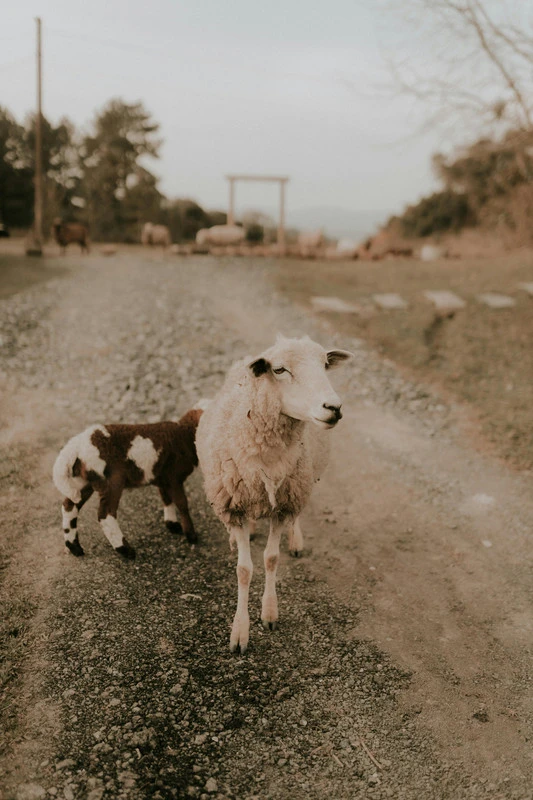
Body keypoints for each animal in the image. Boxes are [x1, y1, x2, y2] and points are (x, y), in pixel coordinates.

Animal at [52, 407, 205, 559]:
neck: (183, 434)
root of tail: (74, 447)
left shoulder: (163, 477)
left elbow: (166, 498)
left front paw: (172, 524)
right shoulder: (173, 477)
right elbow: (182, 503)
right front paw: (191, 535)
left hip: (82, 482)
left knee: (69, 507)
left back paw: (75, 547)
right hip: (111, 481)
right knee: (105, 514)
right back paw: (125, 550)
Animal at [195, 335, 353, 653]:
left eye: (324, 365)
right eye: (279, 370)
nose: (333, 407)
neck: (267, 458)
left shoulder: (283, 504)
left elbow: (271, 558)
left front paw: (269, 613)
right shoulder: (235, 506)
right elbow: (244, 569)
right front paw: (239, 632)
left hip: (303, 481)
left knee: (297, 518)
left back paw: (295, 539)